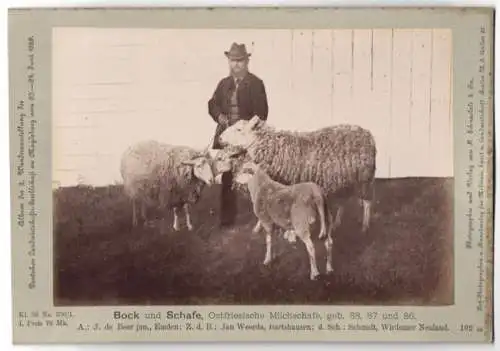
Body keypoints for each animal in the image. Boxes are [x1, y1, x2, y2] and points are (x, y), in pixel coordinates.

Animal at [217, 115, 376, 235]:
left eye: (239, 129)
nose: (219, 138)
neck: (274, 148)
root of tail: (367, 134)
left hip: (364, 178)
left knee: (367, 202)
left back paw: (365, 225)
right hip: (345, 180)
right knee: (345, 201)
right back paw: (338, 223)